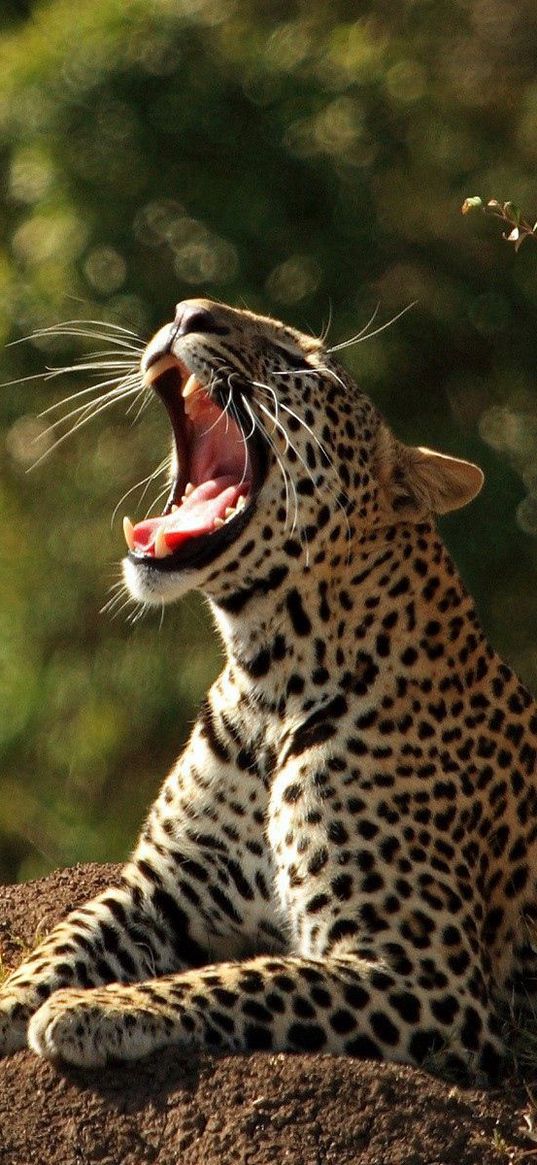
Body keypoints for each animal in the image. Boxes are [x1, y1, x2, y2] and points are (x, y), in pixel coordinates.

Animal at [1, 295, 535, 1076]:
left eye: (299, 363)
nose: (187, 312)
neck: (269, 679)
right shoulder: (159, 889)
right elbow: (61, 942)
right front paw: (25, 1000)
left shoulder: (425, 977)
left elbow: (243, 978)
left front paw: (95, 1008)